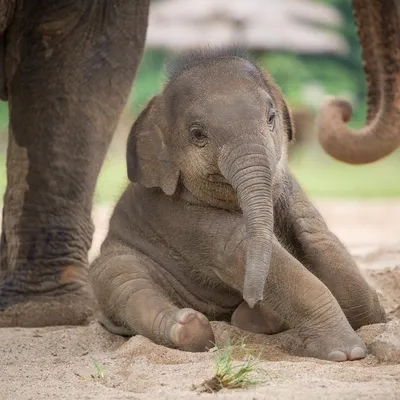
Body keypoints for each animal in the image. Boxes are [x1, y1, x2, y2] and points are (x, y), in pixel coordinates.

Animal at [90, 48, 384, 360]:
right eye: (198, 134)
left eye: (271, 117)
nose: (253, 297)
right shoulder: (181, 219)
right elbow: (242, 249)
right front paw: (347, 353)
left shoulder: (289, 186)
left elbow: (318, 237)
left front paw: (373, 319)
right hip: (115, 264)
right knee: (125, 283)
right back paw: (189, 328)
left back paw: (254, 319)